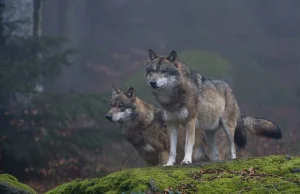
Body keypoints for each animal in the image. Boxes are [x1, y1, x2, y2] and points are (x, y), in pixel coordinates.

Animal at [145, 49, 282, 166]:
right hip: (208, 135)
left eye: (163, 71)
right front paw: (169, 164)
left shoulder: (190, 121)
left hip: (228, 128)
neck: (172, 97)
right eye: (152, 71)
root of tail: (230, 89)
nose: (152, 83)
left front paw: (186, 160)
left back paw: (232, 159)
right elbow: (172, 150)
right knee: (215, 155)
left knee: (233, 148)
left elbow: (188, 144)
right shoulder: (172, 123)